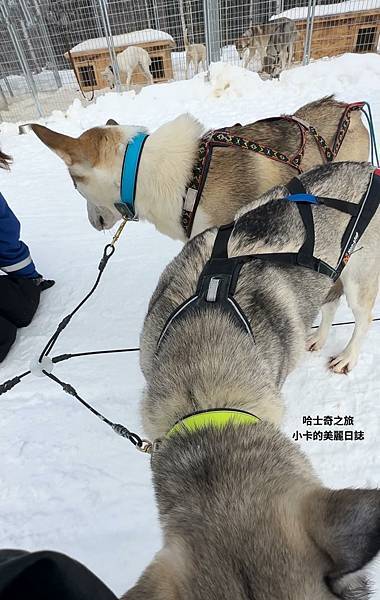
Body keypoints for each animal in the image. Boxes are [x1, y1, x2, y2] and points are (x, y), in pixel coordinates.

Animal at [124, 162, 380, 596]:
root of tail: (367, 167)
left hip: (359, 279)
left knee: (361, 321)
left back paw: (347, 355)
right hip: (334, 273)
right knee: (327, 306)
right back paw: (317, 337)